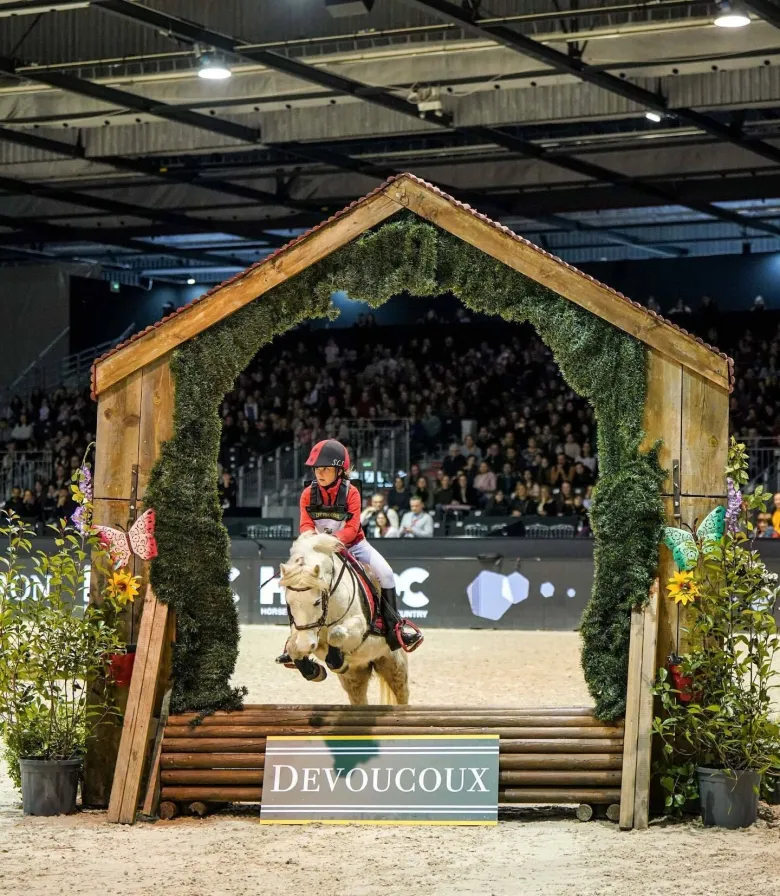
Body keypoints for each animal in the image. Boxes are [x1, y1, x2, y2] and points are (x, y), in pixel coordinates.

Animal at [278, 528, 408, 704]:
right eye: (288, 602)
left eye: (317, 601)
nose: (306, 645)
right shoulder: (301, 632)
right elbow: (293, 647)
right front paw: (313, 670)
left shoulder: (359, 626)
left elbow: (336, 634)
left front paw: (336, 659)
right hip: (354, 677)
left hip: (394, 665)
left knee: (402, 695)